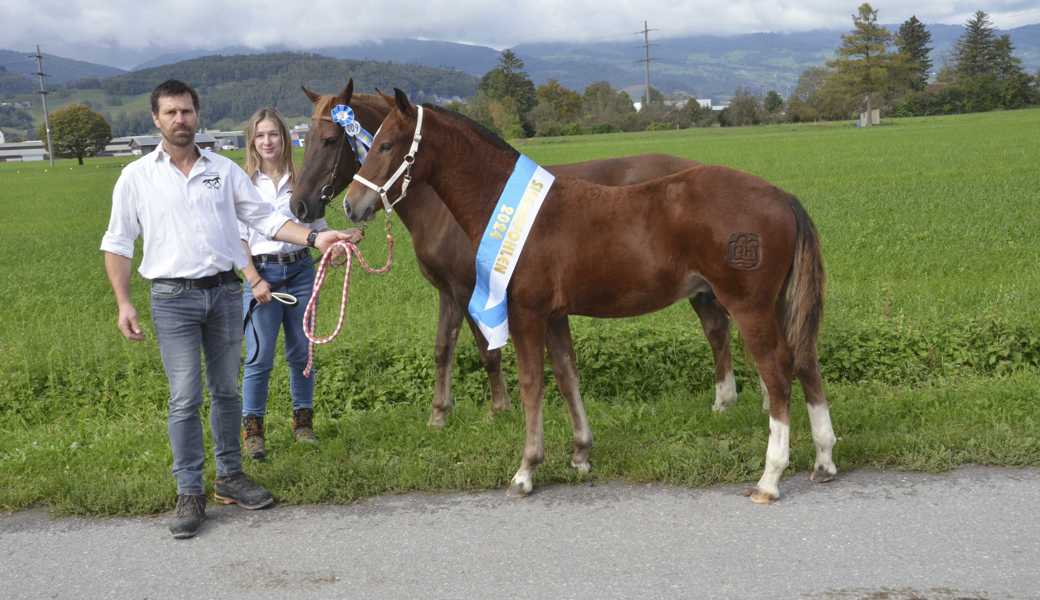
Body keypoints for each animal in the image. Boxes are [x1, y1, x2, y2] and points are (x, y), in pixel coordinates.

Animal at [291, 83, 740, 426]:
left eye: (331, 140)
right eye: (304, 140)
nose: (301, 206)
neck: (449, 203)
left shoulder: (473, 289)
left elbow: (487, 351)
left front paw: (499, 409)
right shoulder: (448, 291)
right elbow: (442, 348)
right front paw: (440, 414)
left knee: (718, 328)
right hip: (700, 287)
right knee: (717, 329)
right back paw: (723, 401)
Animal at [341, 88, 836, 501]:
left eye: (386, 145)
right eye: (370, 141)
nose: (351, 205)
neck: (513, 210)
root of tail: (782, 196)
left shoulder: (526, 312)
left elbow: (532, 383)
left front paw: (526, 470)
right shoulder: (556, 315)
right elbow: (567, 376)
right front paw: (580, 454)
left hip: (750, 307)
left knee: (778, 373)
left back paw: (770, 478)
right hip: (777, 304)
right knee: (806, 362)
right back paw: (825, 460)